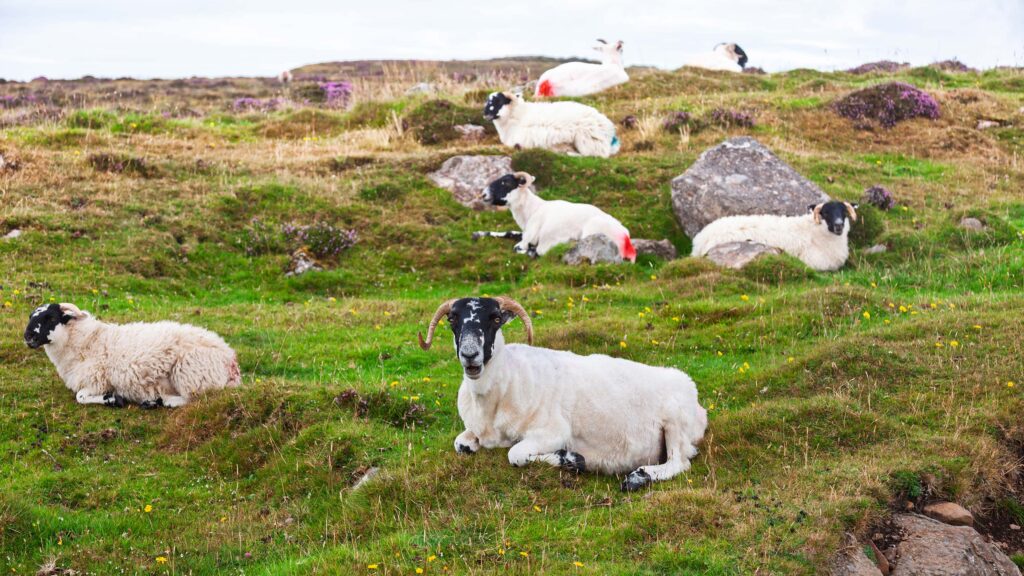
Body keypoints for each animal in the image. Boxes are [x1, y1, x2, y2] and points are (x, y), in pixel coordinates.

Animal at [23, 303, 241, 408]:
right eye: (31, 316)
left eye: (50, 317)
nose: (28, 336)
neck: (88, 341)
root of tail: (231, 362)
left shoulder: (97, 380)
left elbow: (80, 397)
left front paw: (112, 399)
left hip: (190, 374)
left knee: (194, 399)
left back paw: (162, 401)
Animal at [418, 296, 707, 491]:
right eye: (452, 319)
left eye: (496, 319)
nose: (470, 355)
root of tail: (698, 404)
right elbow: (460, 444)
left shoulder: (552, 432)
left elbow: (515, 455)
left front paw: (571, 459)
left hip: (675, 423)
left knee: (679, 463)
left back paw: (637, 478)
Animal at [473, 171, 636, 261]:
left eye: (505, 182)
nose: (483, 194)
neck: (532, 209)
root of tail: (625, 238)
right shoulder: (524, 233)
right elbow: (509, 232)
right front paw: (478, 233)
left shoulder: (527, 240)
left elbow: (518, 247)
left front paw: (531, 251)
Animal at [483, 91, 620, 158]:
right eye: (487, 100)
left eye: (498, 101)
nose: (484, 113)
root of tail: (609, 129)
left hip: (586, 141)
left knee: (594, 156)